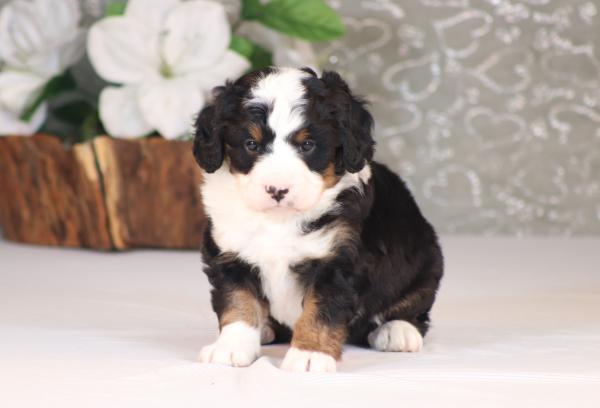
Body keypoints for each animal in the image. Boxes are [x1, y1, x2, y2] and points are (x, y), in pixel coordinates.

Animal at [195, 66, 442, 372]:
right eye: (251, 144)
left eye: (308, 145)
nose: (277, 190)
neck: (279, 221)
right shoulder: (230, 255)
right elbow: (238, 303)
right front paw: (230, 347)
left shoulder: (337, 262)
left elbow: (321, 311)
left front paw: (310, 354)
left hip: (425, 263)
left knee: (413, 306)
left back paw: (397, 331)